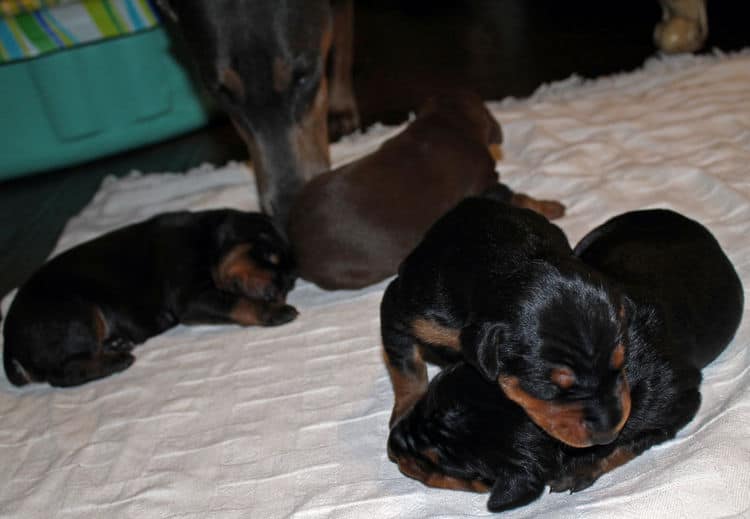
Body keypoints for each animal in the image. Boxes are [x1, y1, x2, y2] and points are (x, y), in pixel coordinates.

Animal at [2, 209, 298, 388]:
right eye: (267, 253)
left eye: (289, 282)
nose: (274, 293)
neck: (206, 240)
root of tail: (9, 342)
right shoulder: (190, 296)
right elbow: (237, 301)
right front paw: (276, 311)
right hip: (75, 312)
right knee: (63, 373)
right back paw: (117, 360)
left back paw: (116, 344)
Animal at [382, 196, 636, 450]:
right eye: (550, 389)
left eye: (620, 364)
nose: (609, 434)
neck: (509, 265)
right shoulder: (405, 310)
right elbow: (406, 367)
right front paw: (408, 410)